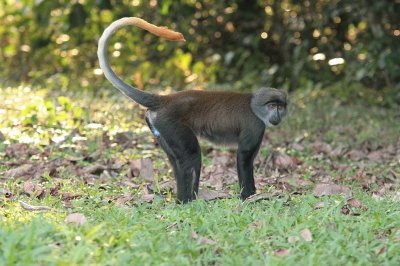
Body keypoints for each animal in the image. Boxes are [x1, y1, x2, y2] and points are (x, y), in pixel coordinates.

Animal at [97, 17, 288, 204]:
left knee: (176, 160)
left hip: (160, 127)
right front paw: (249, 197)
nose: (277, 114)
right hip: (171, 123)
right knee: (191, 155)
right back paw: (187, 201)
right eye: (272, 106)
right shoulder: (255, 125)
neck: (253, 105)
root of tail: (165, 99)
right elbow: (244, 157)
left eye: (280, 106)